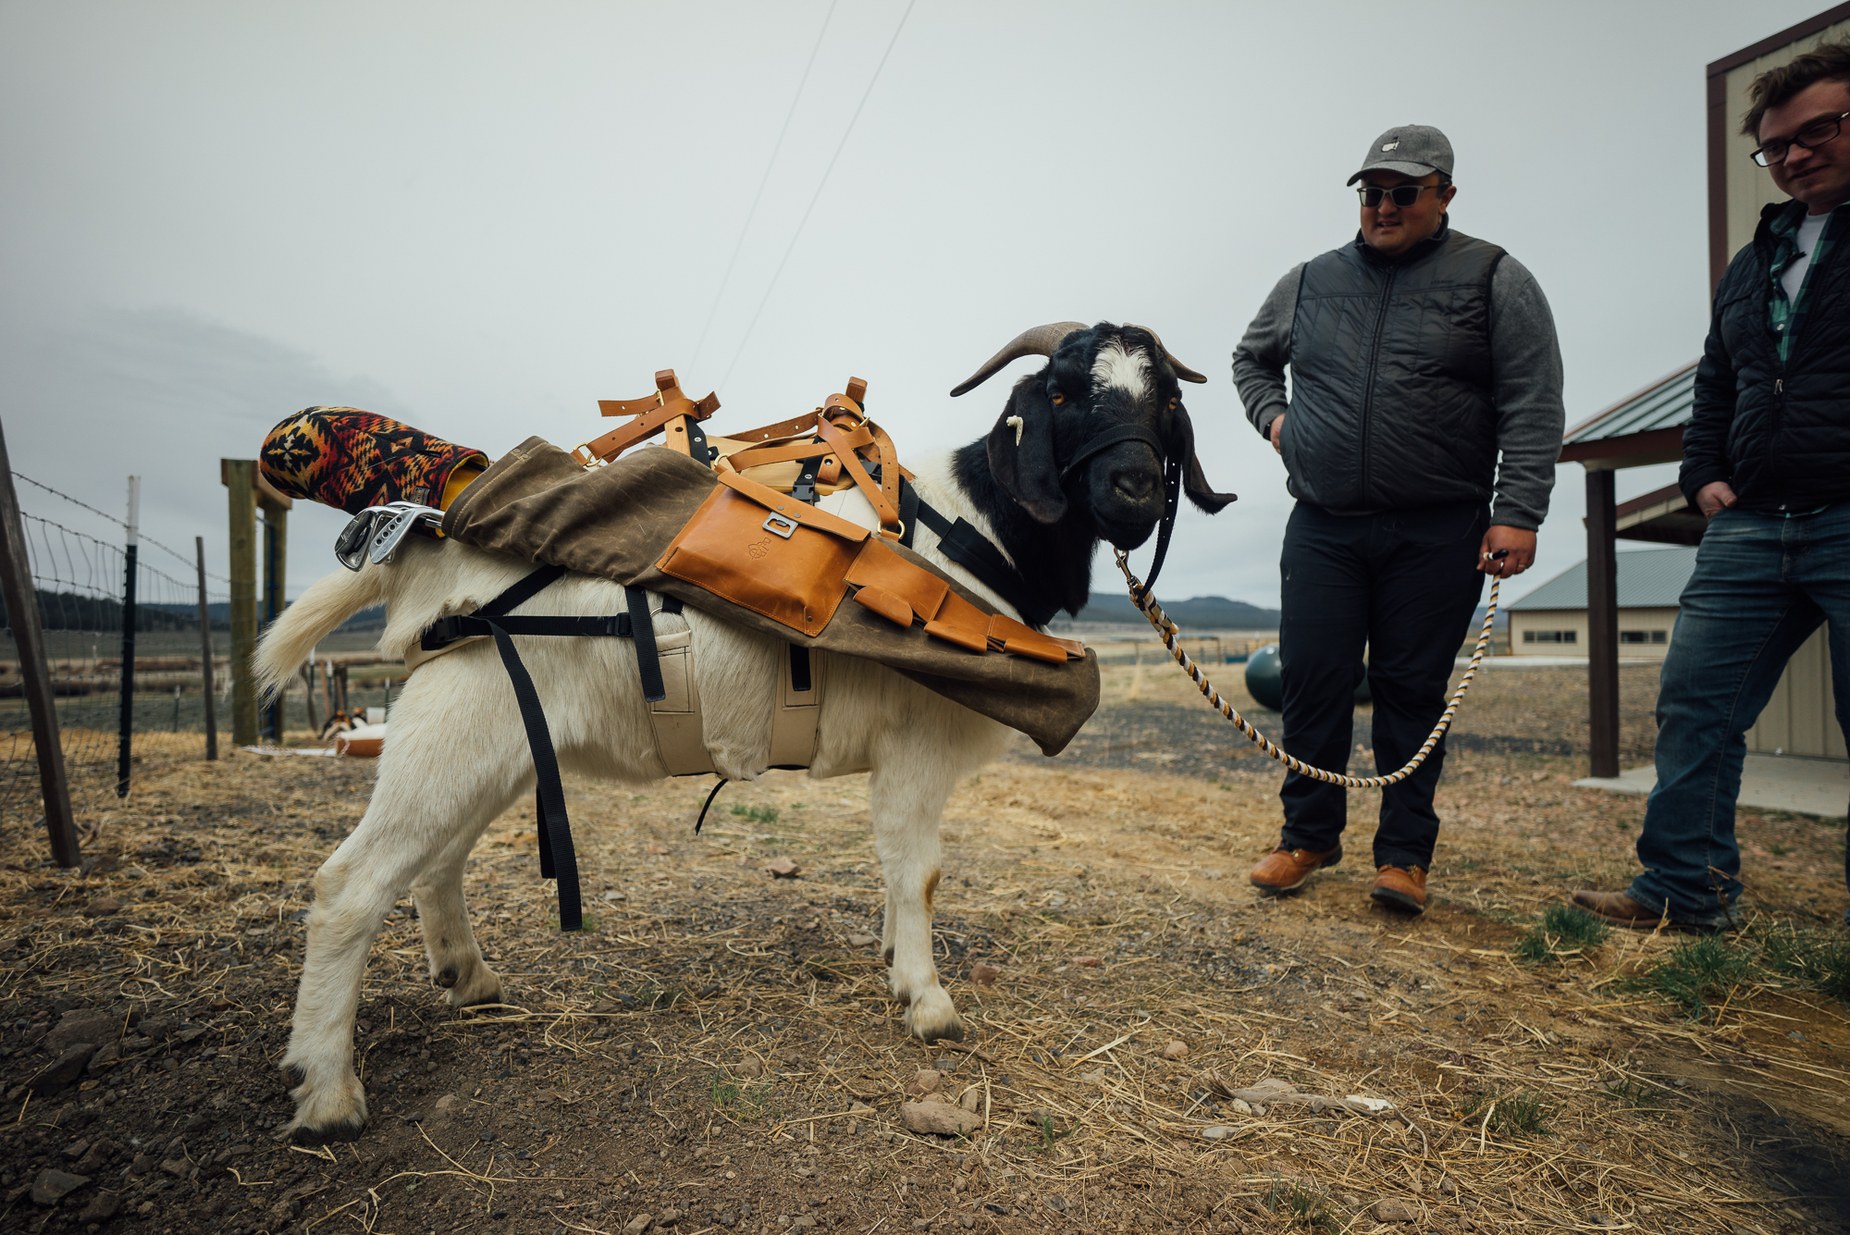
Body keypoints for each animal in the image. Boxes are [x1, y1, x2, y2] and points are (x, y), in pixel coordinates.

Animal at [255, 322, 1233, 1144]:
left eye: (1166, 402)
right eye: (1064, 392)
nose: (1133, 487)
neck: (973, 533)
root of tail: (430, 541)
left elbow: (896, 872)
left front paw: (892, 959)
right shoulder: (916, 746)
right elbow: (919, 872)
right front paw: (927, 1001)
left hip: (491, 745)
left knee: (437, 864)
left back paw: (469, 977)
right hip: (457, 730)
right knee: (350, 885)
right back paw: (327, 1091)